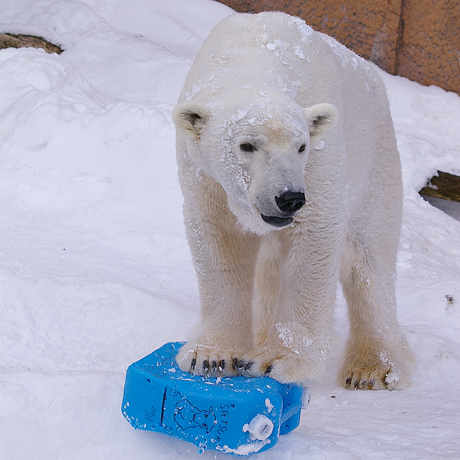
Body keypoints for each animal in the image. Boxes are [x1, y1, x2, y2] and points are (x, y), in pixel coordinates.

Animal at [172, 11, 414, 388]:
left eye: (301, 146)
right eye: (246, 145)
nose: (289, 198)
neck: (255, 54)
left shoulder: (321, 157)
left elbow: (314, 236)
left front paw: (277, 359)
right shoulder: (203, 174)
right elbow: (221, 238)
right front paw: (210, 355)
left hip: (375, 161)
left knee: (369, 259)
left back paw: (375, 368)